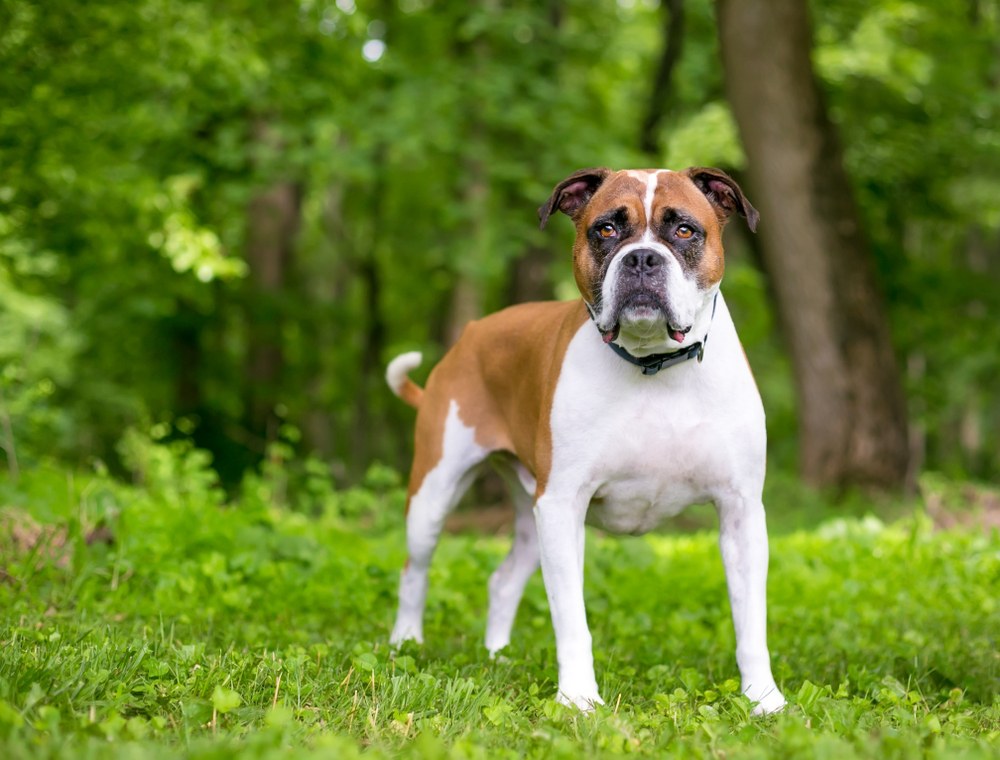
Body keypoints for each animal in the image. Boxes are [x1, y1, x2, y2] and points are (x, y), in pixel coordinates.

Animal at [386, 165, 784, 712]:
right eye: (606, 229)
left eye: (684, 230)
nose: (641, 258)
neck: (654, 365)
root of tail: (472, 333)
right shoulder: (562, 507)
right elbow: (572, 619)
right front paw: (577, 698)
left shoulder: (742, 513)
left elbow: (751, 623)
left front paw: (764, 699)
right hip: (436, 495)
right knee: (414, 570)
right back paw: (405, 644)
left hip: (529, 516)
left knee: (502, 581)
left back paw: (497, 657)